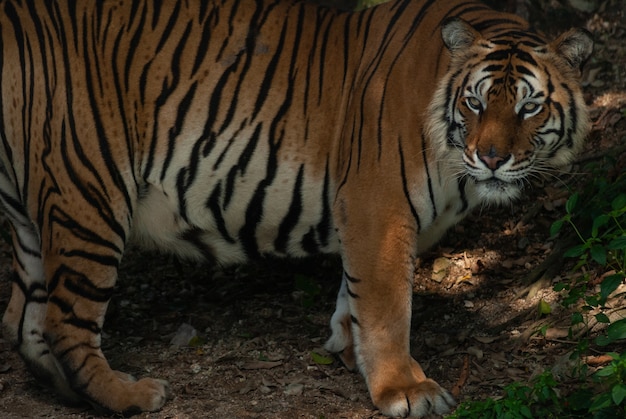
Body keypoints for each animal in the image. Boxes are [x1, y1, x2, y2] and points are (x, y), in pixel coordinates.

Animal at [0, 0, 588, 416]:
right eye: (475, 102)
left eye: (529, 107)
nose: (491, 158)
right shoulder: (378, 207)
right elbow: (388, 305)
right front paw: (403, 388)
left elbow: (354, 292)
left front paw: (349, 350)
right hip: (90, 191)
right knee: (65, 325)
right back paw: (131, 396)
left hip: (32, 212)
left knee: (28, 326)